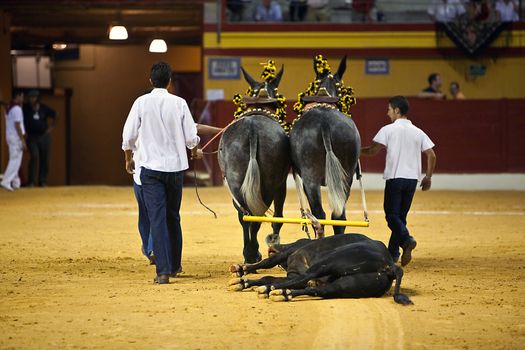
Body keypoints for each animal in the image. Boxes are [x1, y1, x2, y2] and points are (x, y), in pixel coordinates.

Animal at [229, 234, 414, 304]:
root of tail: (390, 265)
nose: (272, 245)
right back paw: (283, 293)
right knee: (321, 290)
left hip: (330, 261)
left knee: (306, 278)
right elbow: (270, 277)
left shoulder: (288, 253)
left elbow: (267, 264)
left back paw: (271, 290)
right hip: (347, 285)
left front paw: (241, 273)